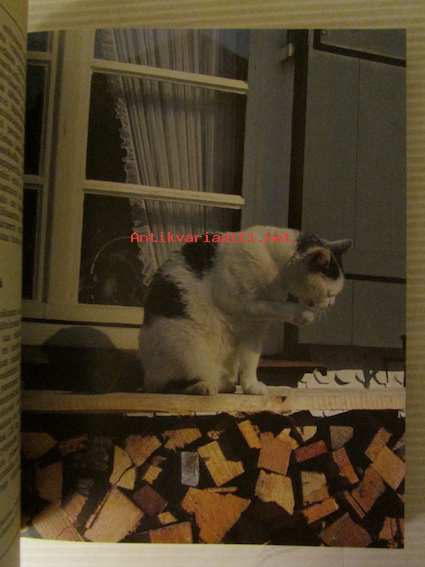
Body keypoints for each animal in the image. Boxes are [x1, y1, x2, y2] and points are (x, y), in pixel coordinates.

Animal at [139, 226, 352, 395]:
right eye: (330, 294)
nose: (331, 304)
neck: (277, 273)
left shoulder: (255, 329)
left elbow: (250, 361)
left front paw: (251, 387)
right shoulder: (237, 301)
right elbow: (273, 306)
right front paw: (303, 314)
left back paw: (224, 384)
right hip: (185, 346)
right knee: (168, 385)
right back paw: (203, 387)